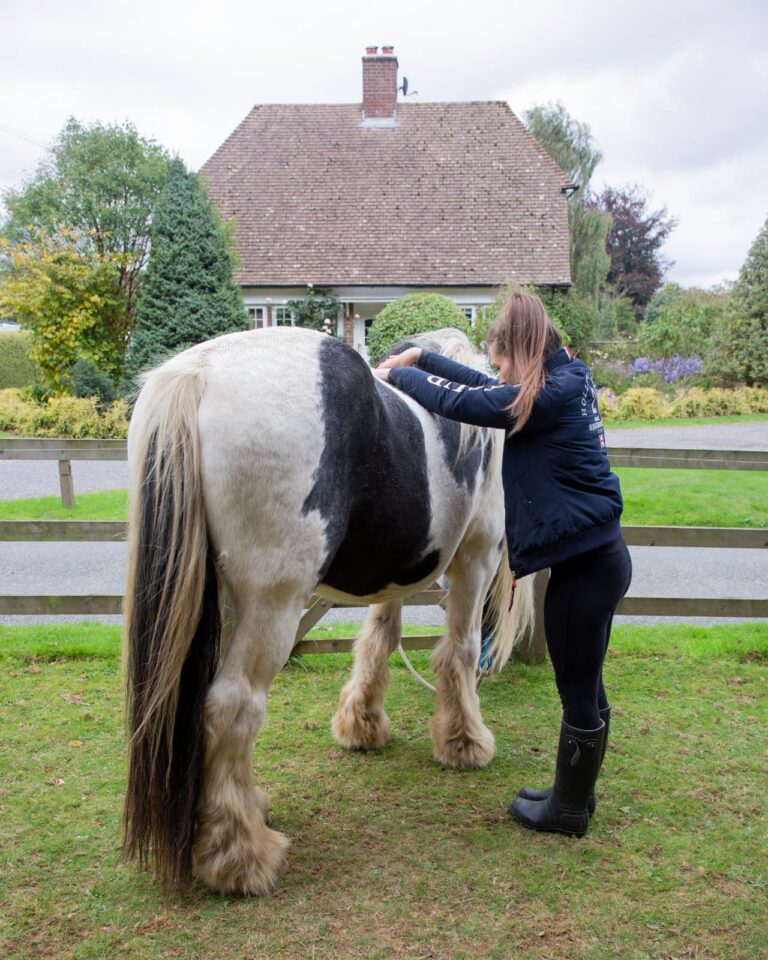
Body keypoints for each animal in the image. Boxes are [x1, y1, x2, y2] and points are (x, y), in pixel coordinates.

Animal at [124, 326, 536, 896]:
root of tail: (200, 372)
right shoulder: (477, 556)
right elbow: (460, 649)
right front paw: (464, 743)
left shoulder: (393, 569)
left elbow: (379, 639)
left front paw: (361, 724)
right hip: (272, 606)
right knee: (232, 707)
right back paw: (241, 856)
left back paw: (247, 812)